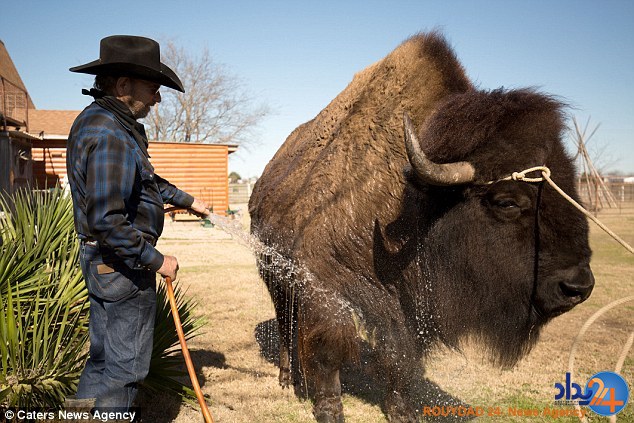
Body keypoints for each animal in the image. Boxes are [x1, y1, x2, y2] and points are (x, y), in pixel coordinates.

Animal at [247, 31, 592, 422]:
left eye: (573, 186)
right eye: (506, 202)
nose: (578, 287)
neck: (414, 200)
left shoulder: (408, 306)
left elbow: (401, 358)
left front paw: (403, 411)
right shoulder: (325, 283)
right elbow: (330, 348)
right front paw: (330, 409)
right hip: (272, 271)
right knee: (284, 322)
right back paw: (286, 377)